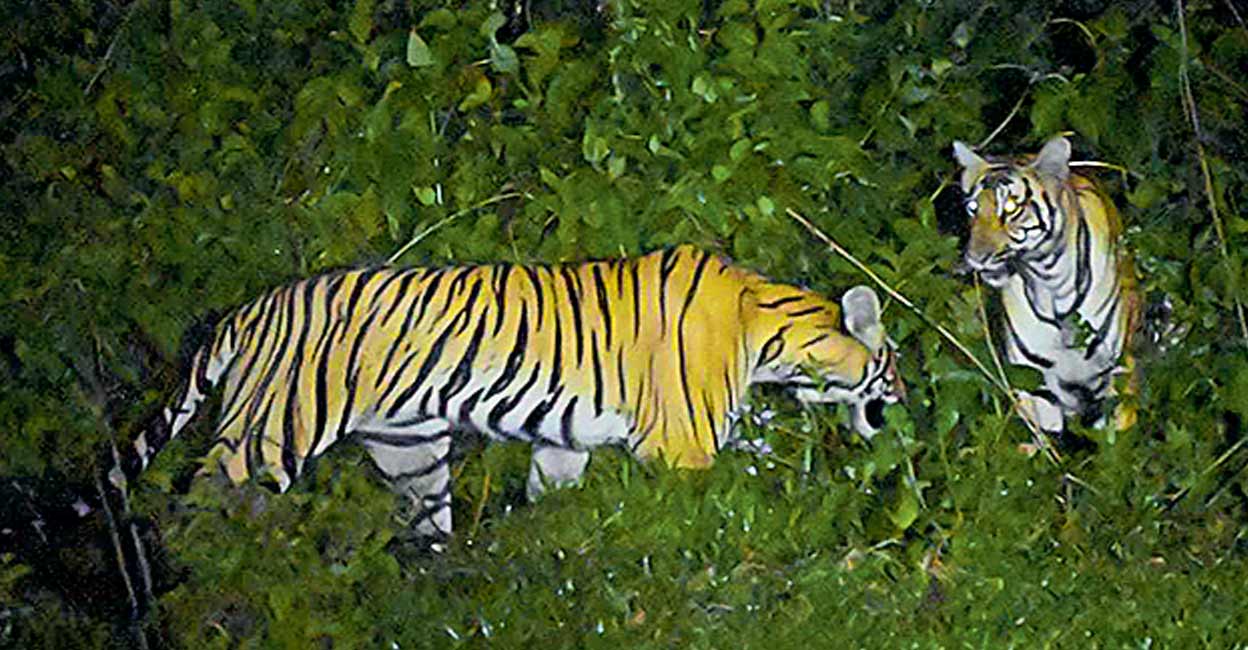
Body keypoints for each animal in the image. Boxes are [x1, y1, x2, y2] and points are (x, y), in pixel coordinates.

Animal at [110, 245, 904, 538]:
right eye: (891, 362)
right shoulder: (683, 450)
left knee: (424, 521)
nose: (903, 399)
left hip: (409, 449)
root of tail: (252, 306)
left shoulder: (564, 440)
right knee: (202, 498)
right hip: (272, 428)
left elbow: (552, 503)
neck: (767, 331)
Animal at [952, 136, 1140, 436]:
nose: (975, 258)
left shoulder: (1117, 374)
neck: (1052, 282)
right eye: (973, 209)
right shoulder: (1034, 381)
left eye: (1011, 209)